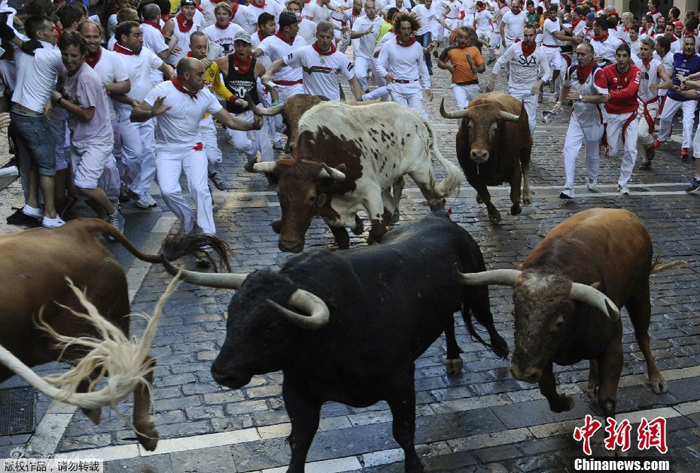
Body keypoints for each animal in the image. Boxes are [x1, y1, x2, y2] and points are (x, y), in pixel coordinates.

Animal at [167, 211, 506, 472]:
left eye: (272, 328)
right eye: (231, 312)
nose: (221, 372)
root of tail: (439, 217)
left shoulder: (400, 381)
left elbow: (404, 433)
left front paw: (415, 466)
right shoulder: (297, 390)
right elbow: (299, 441)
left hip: (476, 288)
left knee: (486, 318)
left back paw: (499, 347)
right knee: (448, 320)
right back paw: (452, 356)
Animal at [440, 93, 532, 225]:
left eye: (494, 128)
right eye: (469, 126)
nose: (479, 154)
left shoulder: (515, 168)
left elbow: (514, 196)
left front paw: (516, 209)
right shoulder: (470, 174)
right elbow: (485, 195)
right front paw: (494, 215)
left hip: (527, 146)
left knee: (526, 168)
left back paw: (527, 196)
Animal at [454, 208, 668, 418]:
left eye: (558, 322)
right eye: (514, 313)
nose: (521, 373)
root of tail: (625, 213)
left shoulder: (613, 348)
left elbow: (607, 399)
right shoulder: (541, 355)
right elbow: (549, 391)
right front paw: (566, 401)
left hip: (641, 294)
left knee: (642, 336)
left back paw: (656, 378)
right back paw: (593, 382)